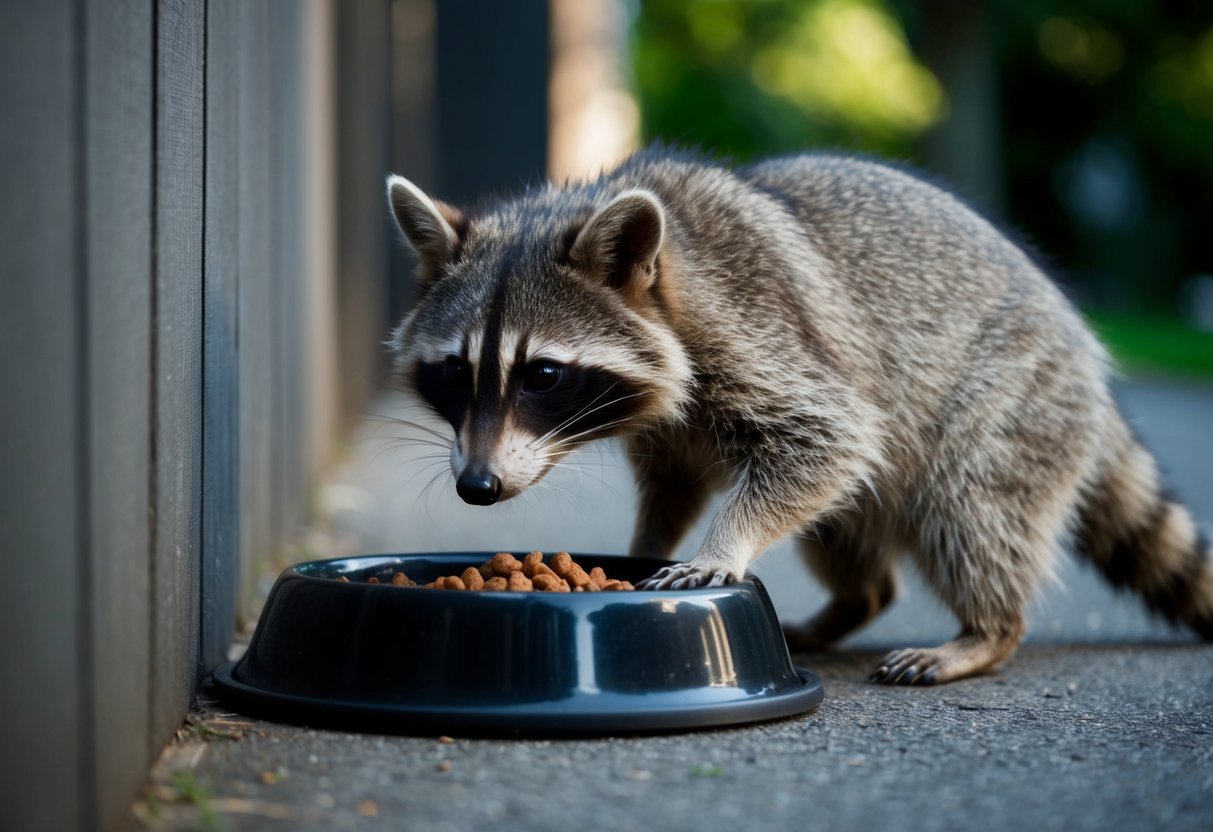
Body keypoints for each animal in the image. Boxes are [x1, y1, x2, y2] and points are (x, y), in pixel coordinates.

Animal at [384, 149, 1213, 685]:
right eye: (454, 373)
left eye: (544, 376)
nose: (477, 487)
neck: (670, 281)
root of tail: (1085, 362)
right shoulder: (671, 429)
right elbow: (673, 485)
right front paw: (645, 544)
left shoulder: (761, 332)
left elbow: (829, 438)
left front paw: (726, 538)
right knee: (845, 532)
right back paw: (850, 603)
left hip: (1015, 394)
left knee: (970, 507)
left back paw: (986, 631)